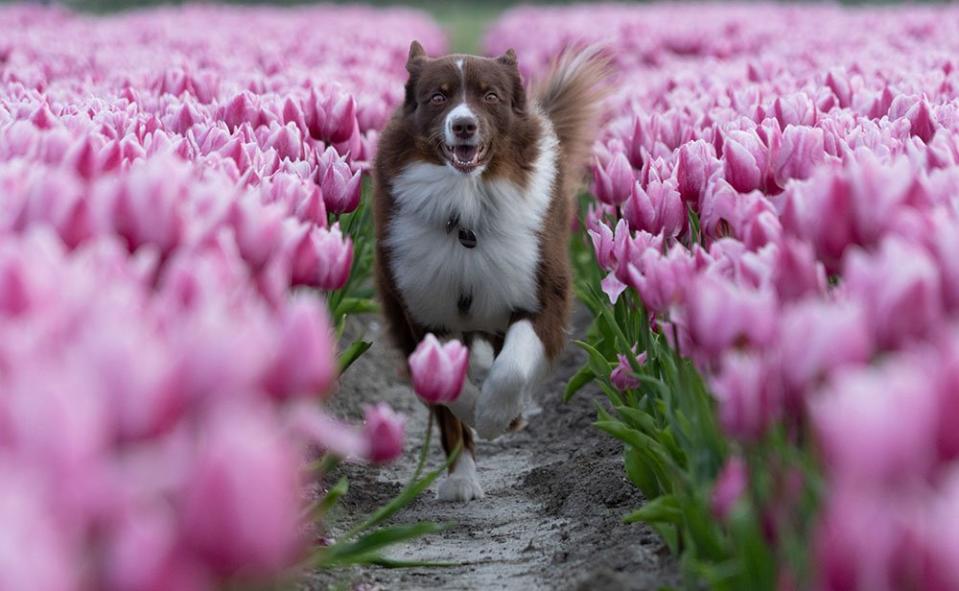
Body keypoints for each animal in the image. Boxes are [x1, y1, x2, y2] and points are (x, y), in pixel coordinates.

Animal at [374, 40, 608, 504]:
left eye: (491, 96)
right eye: (438, 97)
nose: (464, 125)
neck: (467, 208)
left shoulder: (541, 293)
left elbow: (512, 368)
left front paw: (498, 416)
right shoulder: (424, 309)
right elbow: (445, 388)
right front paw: (476, 413)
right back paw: (460, 481)